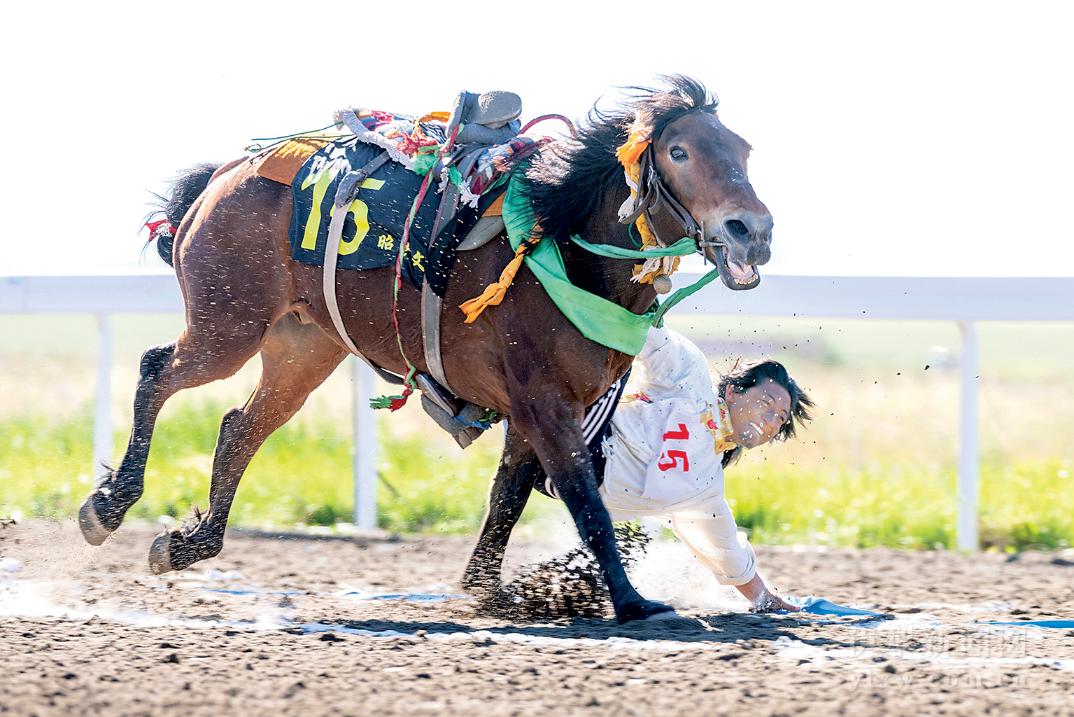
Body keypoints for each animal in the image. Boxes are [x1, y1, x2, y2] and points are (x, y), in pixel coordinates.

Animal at [79, 74, 777, 622]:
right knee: (157, 373)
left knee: (238, 429)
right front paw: (632, 602)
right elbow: (586, 501)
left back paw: (187, 544)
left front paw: (488, 590)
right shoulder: (544, 404)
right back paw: (109, 505)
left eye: (744, 149)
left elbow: (508, 498)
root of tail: (226, 173)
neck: (561, 250)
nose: (752, 230)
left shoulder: (549, 408)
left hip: (304, 346)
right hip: (228, 324)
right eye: (679, 151)